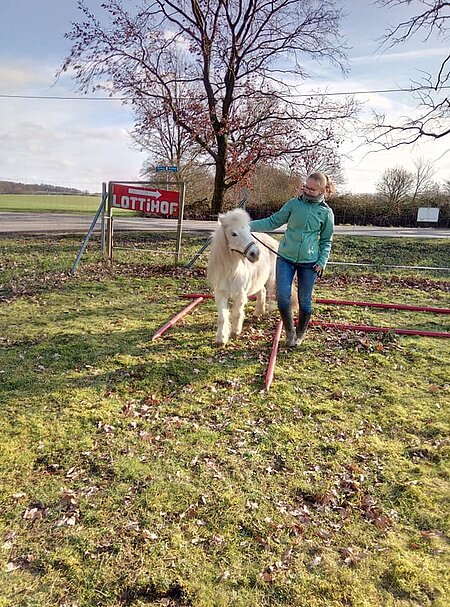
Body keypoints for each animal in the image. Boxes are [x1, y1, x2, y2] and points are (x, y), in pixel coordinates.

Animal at [207, 209, 278, 344]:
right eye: (233, 234)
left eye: (248, 230)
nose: (255, 253)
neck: (231, 272)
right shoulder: (220, 295)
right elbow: (222, 317)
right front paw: (221, 339)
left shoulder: (240, 294)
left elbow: (237, 313)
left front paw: (235, 332)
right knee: (262, 291)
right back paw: (258, 313)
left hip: (271, 279)